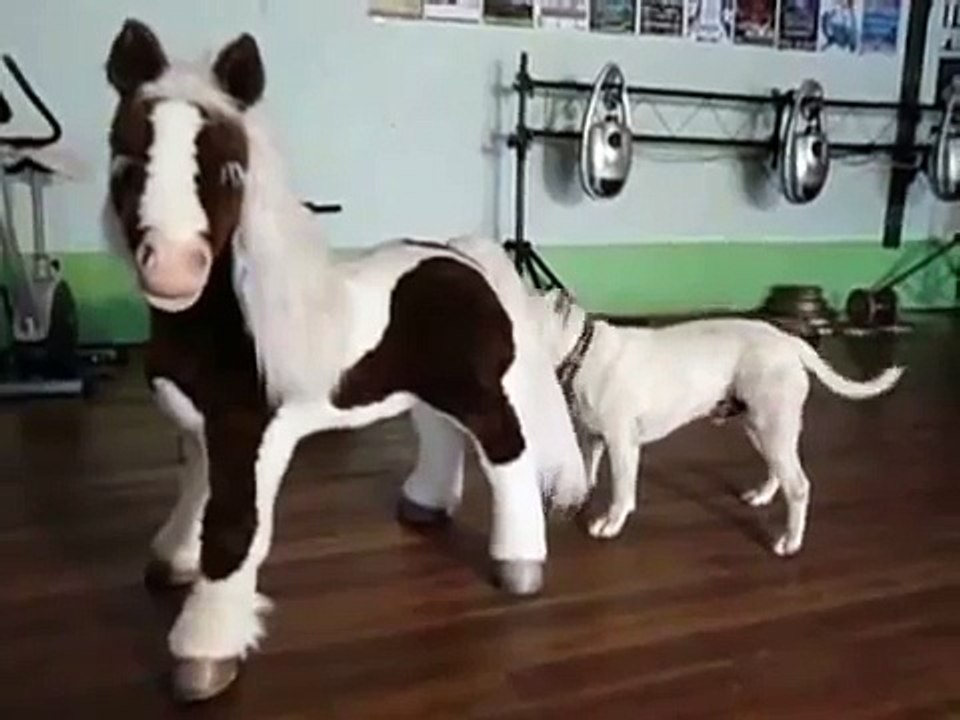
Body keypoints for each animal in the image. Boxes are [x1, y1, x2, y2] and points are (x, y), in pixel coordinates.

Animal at [102, 19, 589, 702]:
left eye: (231, 171)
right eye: (124, 159)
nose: (172, 268)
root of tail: (464, 258)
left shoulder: (249, 436)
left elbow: (233, 530)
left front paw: (204, 658)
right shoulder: (200, 431)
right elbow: (195, 494)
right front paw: (172, 561)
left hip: (478, 390)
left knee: (507, 453)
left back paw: (518, 566)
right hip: (426, 389)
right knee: (443, 436)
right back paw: (424, 506)